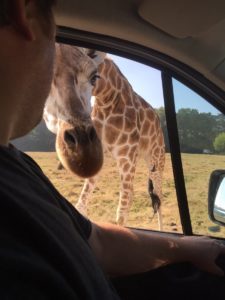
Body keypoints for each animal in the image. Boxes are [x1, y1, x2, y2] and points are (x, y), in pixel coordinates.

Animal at [75, 54, 165, 229]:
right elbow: (82, 202)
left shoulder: (126, 157)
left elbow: (121, 213)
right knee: (133, 194)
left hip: (156, 162)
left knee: (159, 197)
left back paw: (162, 229)